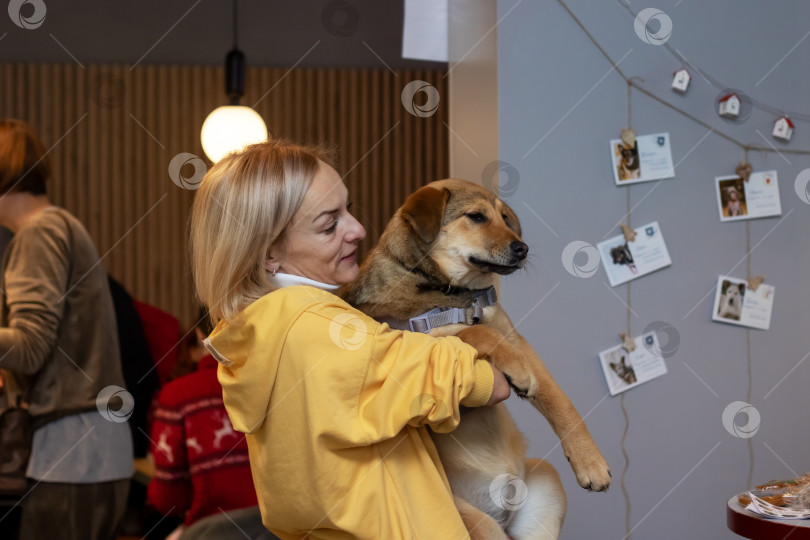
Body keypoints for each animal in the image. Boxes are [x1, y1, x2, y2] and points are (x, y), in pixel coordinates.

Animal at [338, 179, 608, 536]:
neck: (454, 292)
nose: (522, 249)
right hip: (473, 522)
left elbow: (559, 401)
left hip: (546, 483)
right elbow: (472, 334)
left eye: (505, 218)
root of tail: (500, 509)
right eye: (476, 217)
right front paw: (517, 371)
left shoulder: (517, 340)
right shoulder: (420, 346)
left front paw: (591, 462)